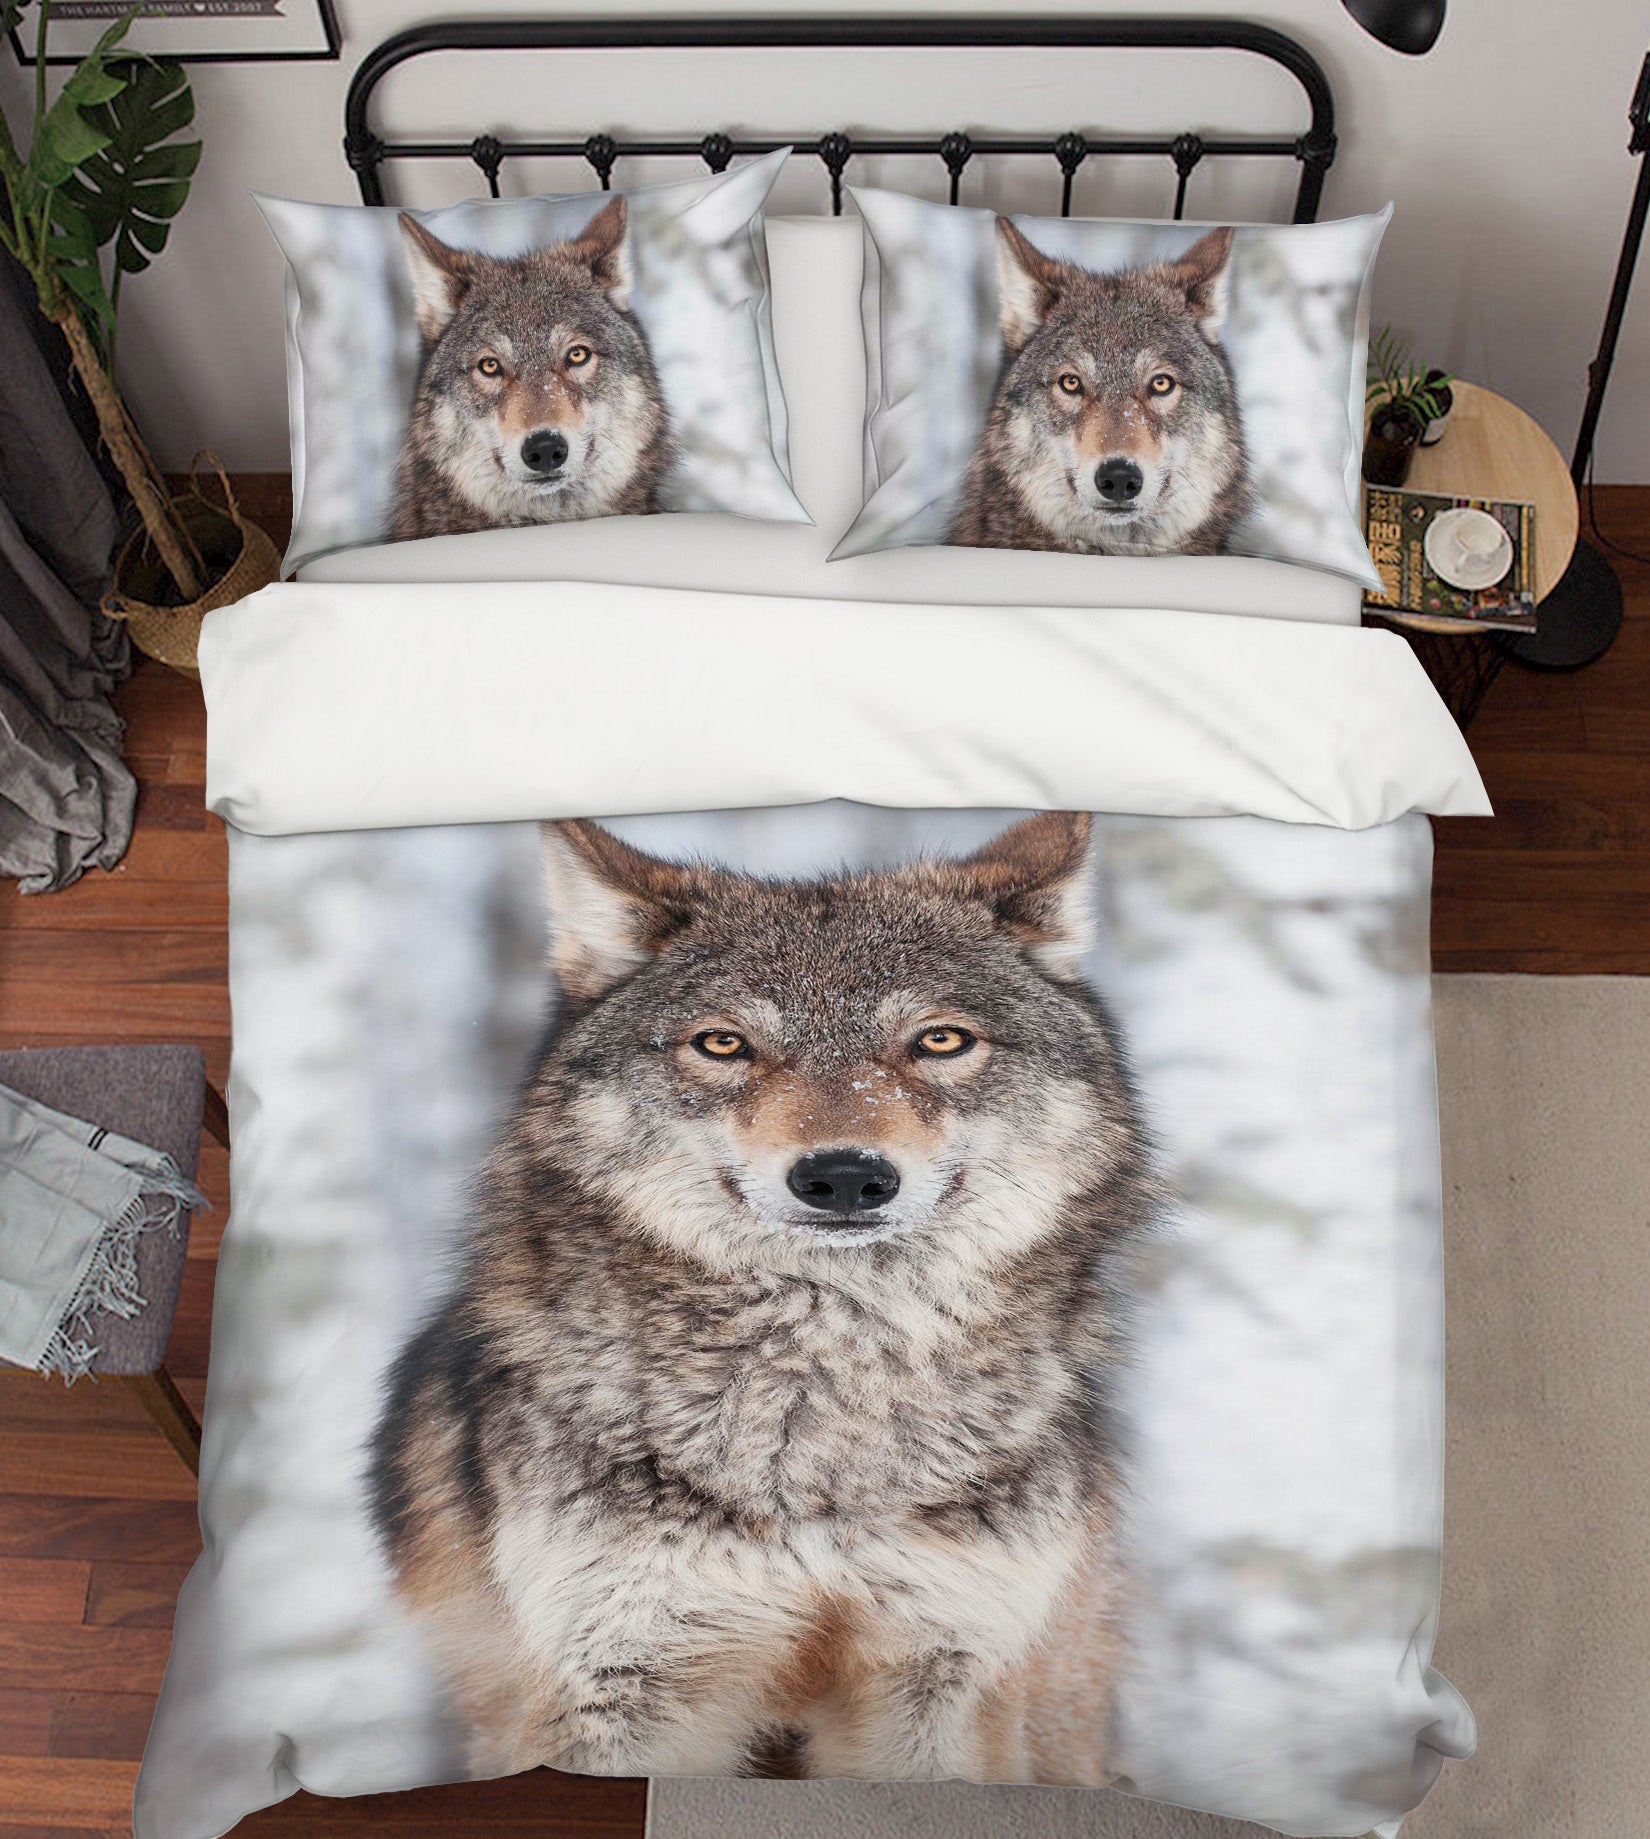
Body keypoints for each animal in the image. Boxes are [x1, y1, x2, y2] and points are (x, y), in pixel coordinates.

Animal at [370, 812, 1153, 1784]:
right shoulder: (622, 1676)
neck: (823, 1418)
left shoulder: (945, 1670)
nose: (845, 1175)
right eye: (723, 1043)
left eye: (940, 1040)